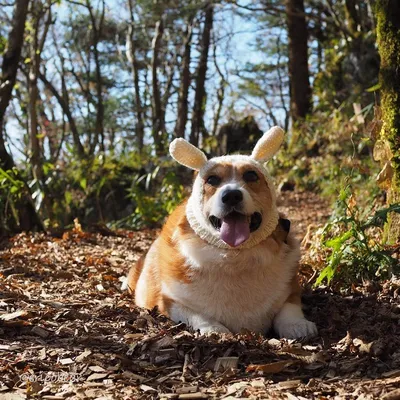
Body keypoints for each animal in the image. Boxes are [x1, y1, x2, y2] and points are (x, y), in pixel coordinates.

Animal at [123, 127, 318, 338]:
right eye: (212, 179)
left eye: (251, 175)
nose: (231, 195)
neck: (233, 256)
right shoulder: (170, 301)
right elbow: (197, 314)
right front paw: (214, 329)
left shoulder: (291, 289)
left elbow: (289, 307)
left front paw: (297, 325)